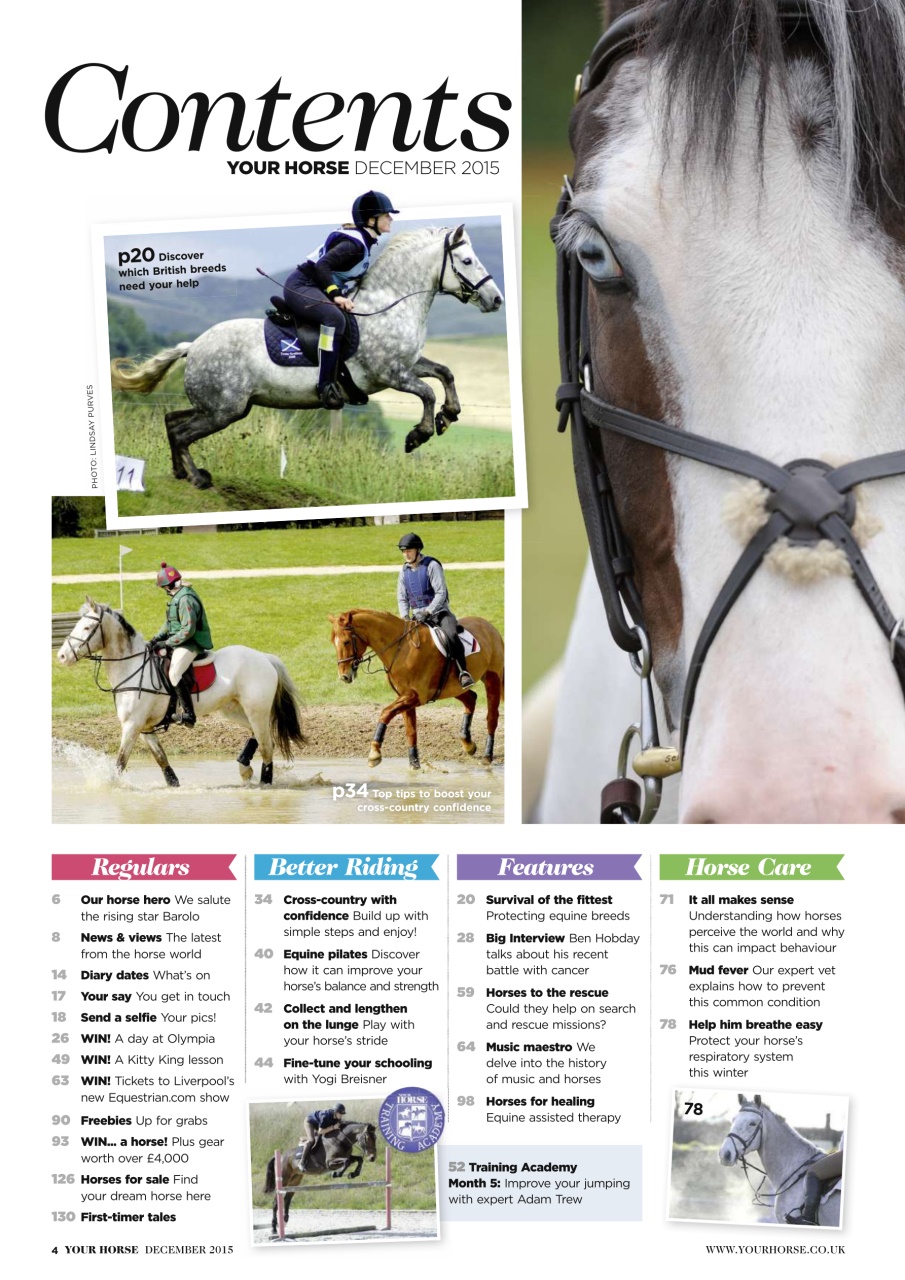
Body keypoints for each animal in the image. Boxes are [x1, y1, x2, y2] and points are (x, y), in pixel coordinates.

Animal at [57, 600, 304, 786]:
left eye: (86, 628)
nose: (61, 656)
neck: (132, 665)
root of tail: (265, 657)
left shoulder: (132, 725)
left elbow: (120, 762)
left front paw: (110, 787)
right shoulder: (145, 727)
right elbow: (161, 760)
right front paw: (173, 785)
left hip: (256, 710)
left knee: (267, 746)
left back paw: (264, 782)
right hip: (234, 710)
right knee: (258, 736)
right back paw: (244, 768)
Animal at [109, 225, 503, 488]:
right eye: (467, 260)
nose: (496, 300)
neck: (389, 305)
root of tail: (193, 346)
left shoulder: (408, 365)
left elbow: (445, 373)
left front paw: (449, 415)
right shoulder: (390, 373)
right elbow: (427, 392)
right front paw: (419, 434)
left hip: (220, 407)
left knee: (172, 421)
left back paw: (181, 472)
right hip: (224, 410)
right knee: (182, 432)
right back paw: (196, 477)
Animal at [328, 609, 504, 769]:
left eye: (346, 642)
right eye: (333, 643)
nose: (344, 676)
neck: (402, 648)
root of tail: (489, 626)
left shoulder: (415, 696)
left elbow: (385, 713)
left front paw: (374, 753)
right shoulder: (405, 696)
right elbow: (410, 730)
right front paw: (414, 764)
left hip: (492, 679)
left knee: (491, 717)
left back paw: (487, 756)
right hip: (452, 688)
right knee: (471, 699)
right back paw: (468, 744)